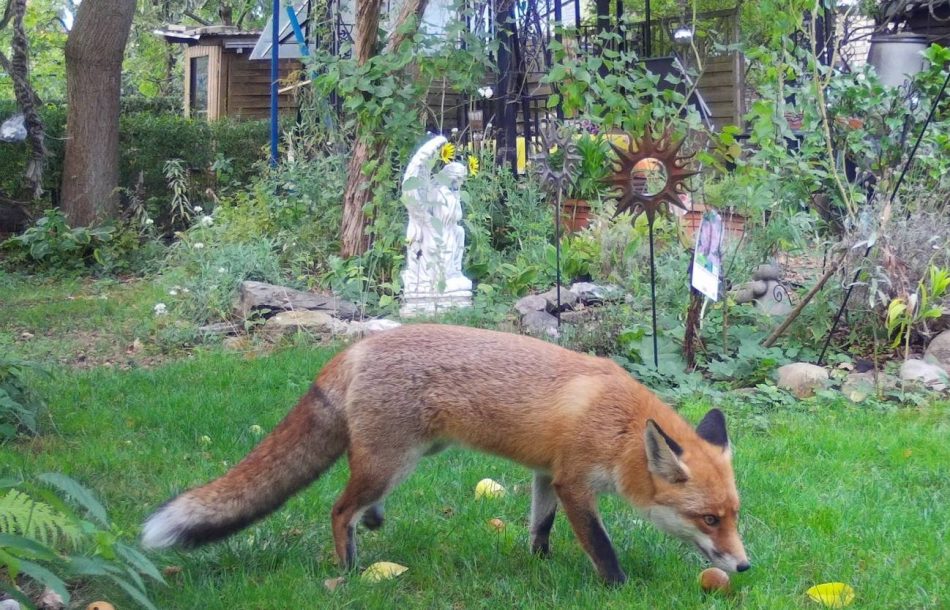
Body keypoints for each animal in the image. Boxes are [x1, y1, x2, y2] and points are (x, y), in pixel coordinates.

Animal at [143, 326, 752, 580]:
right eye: (709, 519)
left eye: (735, 516)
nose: (745, 566)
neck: (620, 426)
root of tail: (355, 348)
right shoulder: (574, 482)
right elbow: (601, 548)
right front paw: (618, 588)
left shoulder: (545, 473)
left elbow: (539, 527)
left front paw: (540, 565)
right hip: (392, 462)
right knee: (338, 509)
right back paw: (349, 570)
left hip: (402, 460)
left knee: (358, 504)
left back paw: (373, 524)